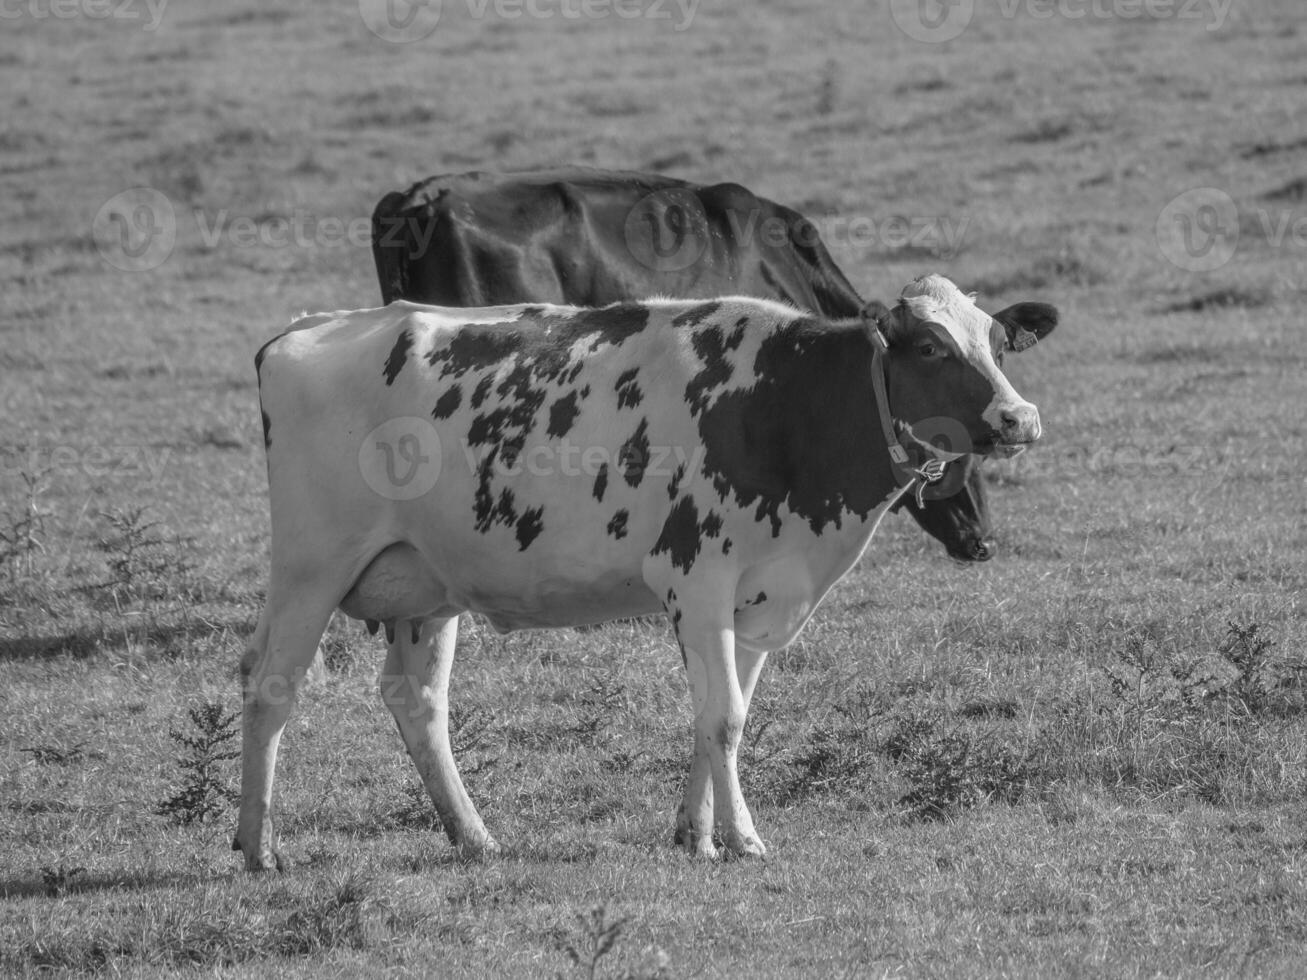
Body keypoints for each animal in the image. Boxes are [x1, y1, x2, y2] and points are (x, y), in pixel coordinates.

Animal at [232, 274, 1050, 867]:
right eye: (930, 347)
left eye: (997, 343)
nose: (1020, 418)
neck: (786, 404)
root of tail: (304, 330)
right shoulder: (698, 579)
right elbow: (723, 719)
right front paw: (743, 840)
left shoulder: (760, 598)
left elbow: (720, 716)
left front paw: (694, 834)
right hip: (312, 563)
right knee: (271, 684)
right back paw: (258, 847)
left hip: (424, 588)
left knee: (417, 701)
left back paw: (474, 837)